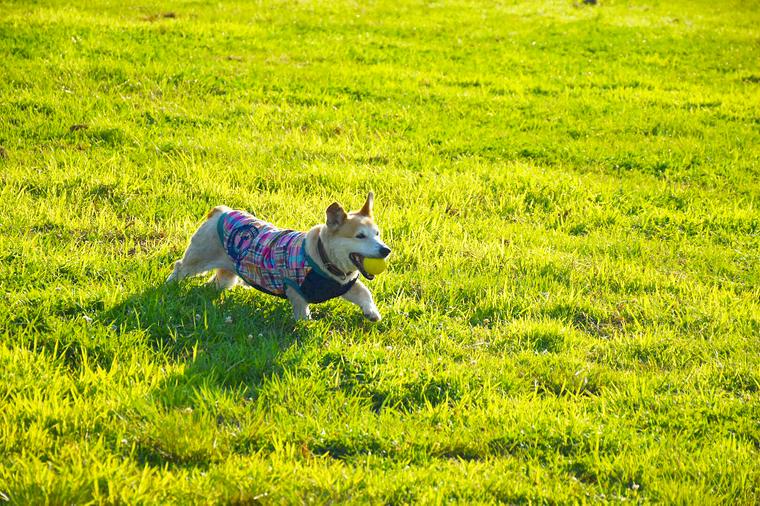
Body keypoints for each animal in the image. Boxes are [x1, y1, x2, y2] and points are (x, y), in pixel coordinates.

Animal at [167, 192, 392, 322]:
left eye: (377, 234)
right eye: (360, 236)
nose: (386, 250)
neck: (325, 259)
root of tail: (221, 211)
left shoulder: (344, 285)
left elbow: (363, 292)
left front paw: (372, 313)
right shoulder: (295, 288)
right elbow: (301, 311)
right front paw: (306, 324)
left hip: (228, 273)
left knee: (218, 281)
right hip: (199, 255)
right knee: (181, 266)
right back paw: (170, 285)